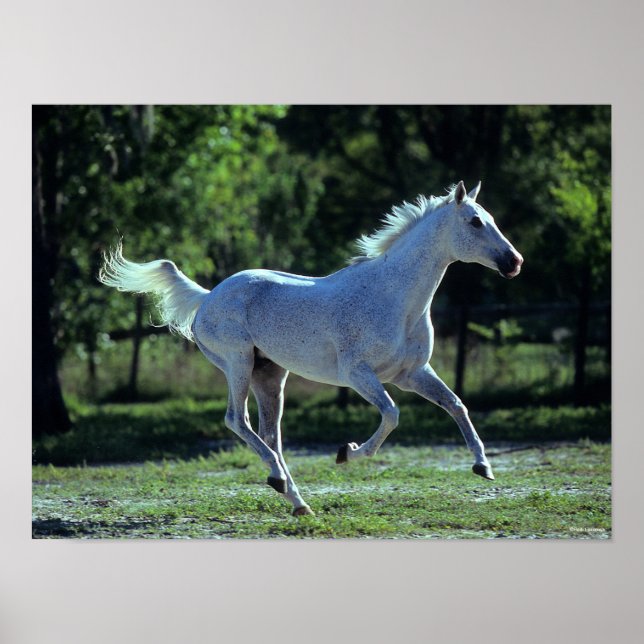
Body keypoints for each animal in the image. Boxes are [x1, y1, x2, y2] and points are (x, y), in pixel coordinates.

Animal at [99, 180, 523, 516]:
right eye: (475, 221)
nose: (514, 262)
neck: (394, 296)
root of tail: (207, 298)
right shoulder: (358, 374)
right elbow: (392, 415)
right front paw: (347, 453)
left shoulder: (411, 373)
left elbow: (456, 405)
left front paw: (483, 467)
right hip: (238, 363)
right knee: (237, 421)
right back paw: (280, 482)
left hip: (270, 376)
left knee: (270, 435)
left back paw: (296, 500)